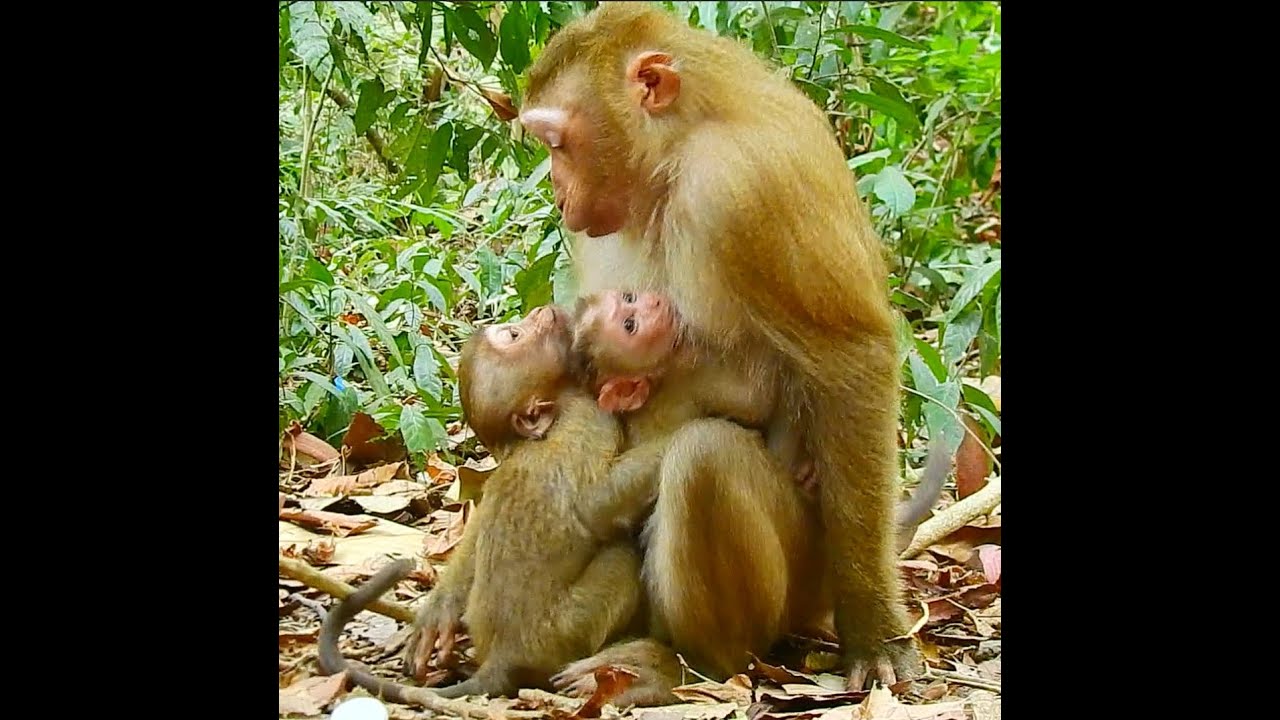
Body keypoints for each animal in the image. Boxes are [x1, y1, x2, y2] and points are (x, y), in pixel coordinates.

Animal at [322, 304, 648, 703]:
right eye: (515, 336)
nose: (542, 311)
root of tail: (502, 659)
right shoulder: (591, 416)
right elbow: (601, 506)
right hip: (570, 627)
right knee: (623, 554)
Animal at [519, 1, 927, 690]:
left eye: (556, 143)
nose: (553, 185)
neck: (681, 151)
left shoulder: (743, 187)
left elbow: (853, 360)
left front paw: (874, 627)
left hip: (800, 580)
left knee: (705, 460)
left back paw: (689, 663)